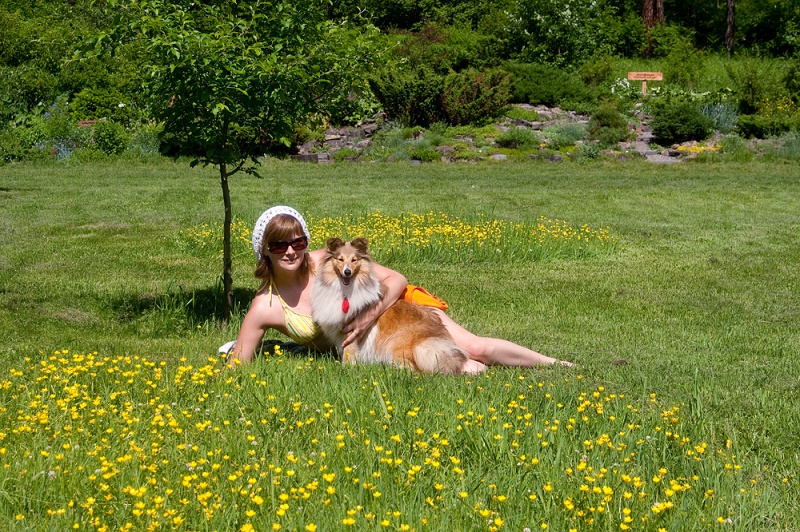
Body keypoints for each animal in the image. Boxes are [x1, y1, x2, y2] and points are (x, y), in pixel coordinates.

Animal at [311, 237, 468, 374]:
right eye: (340, 259)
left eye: (354, 260)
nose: (347, 272)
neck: (345, 291)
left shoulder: (352, 329)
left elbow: (349, 350)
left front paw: (346, 367)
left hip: (399, 346)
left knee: (415, 370)